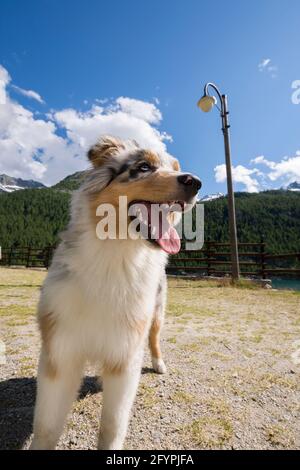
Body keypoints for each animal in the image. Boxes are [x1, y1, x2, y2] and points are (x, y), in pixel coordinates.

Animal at [29, 135, 202, 448]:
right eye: (143, 167)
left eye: (174, 168)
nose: (196, 182)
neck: (116, 255)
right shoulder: (60, 350)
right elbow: (46, 426)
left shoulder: (126, 353)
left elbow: (113, 425)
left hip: (156, 312)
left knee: (154, 339)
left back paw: (158, 364)